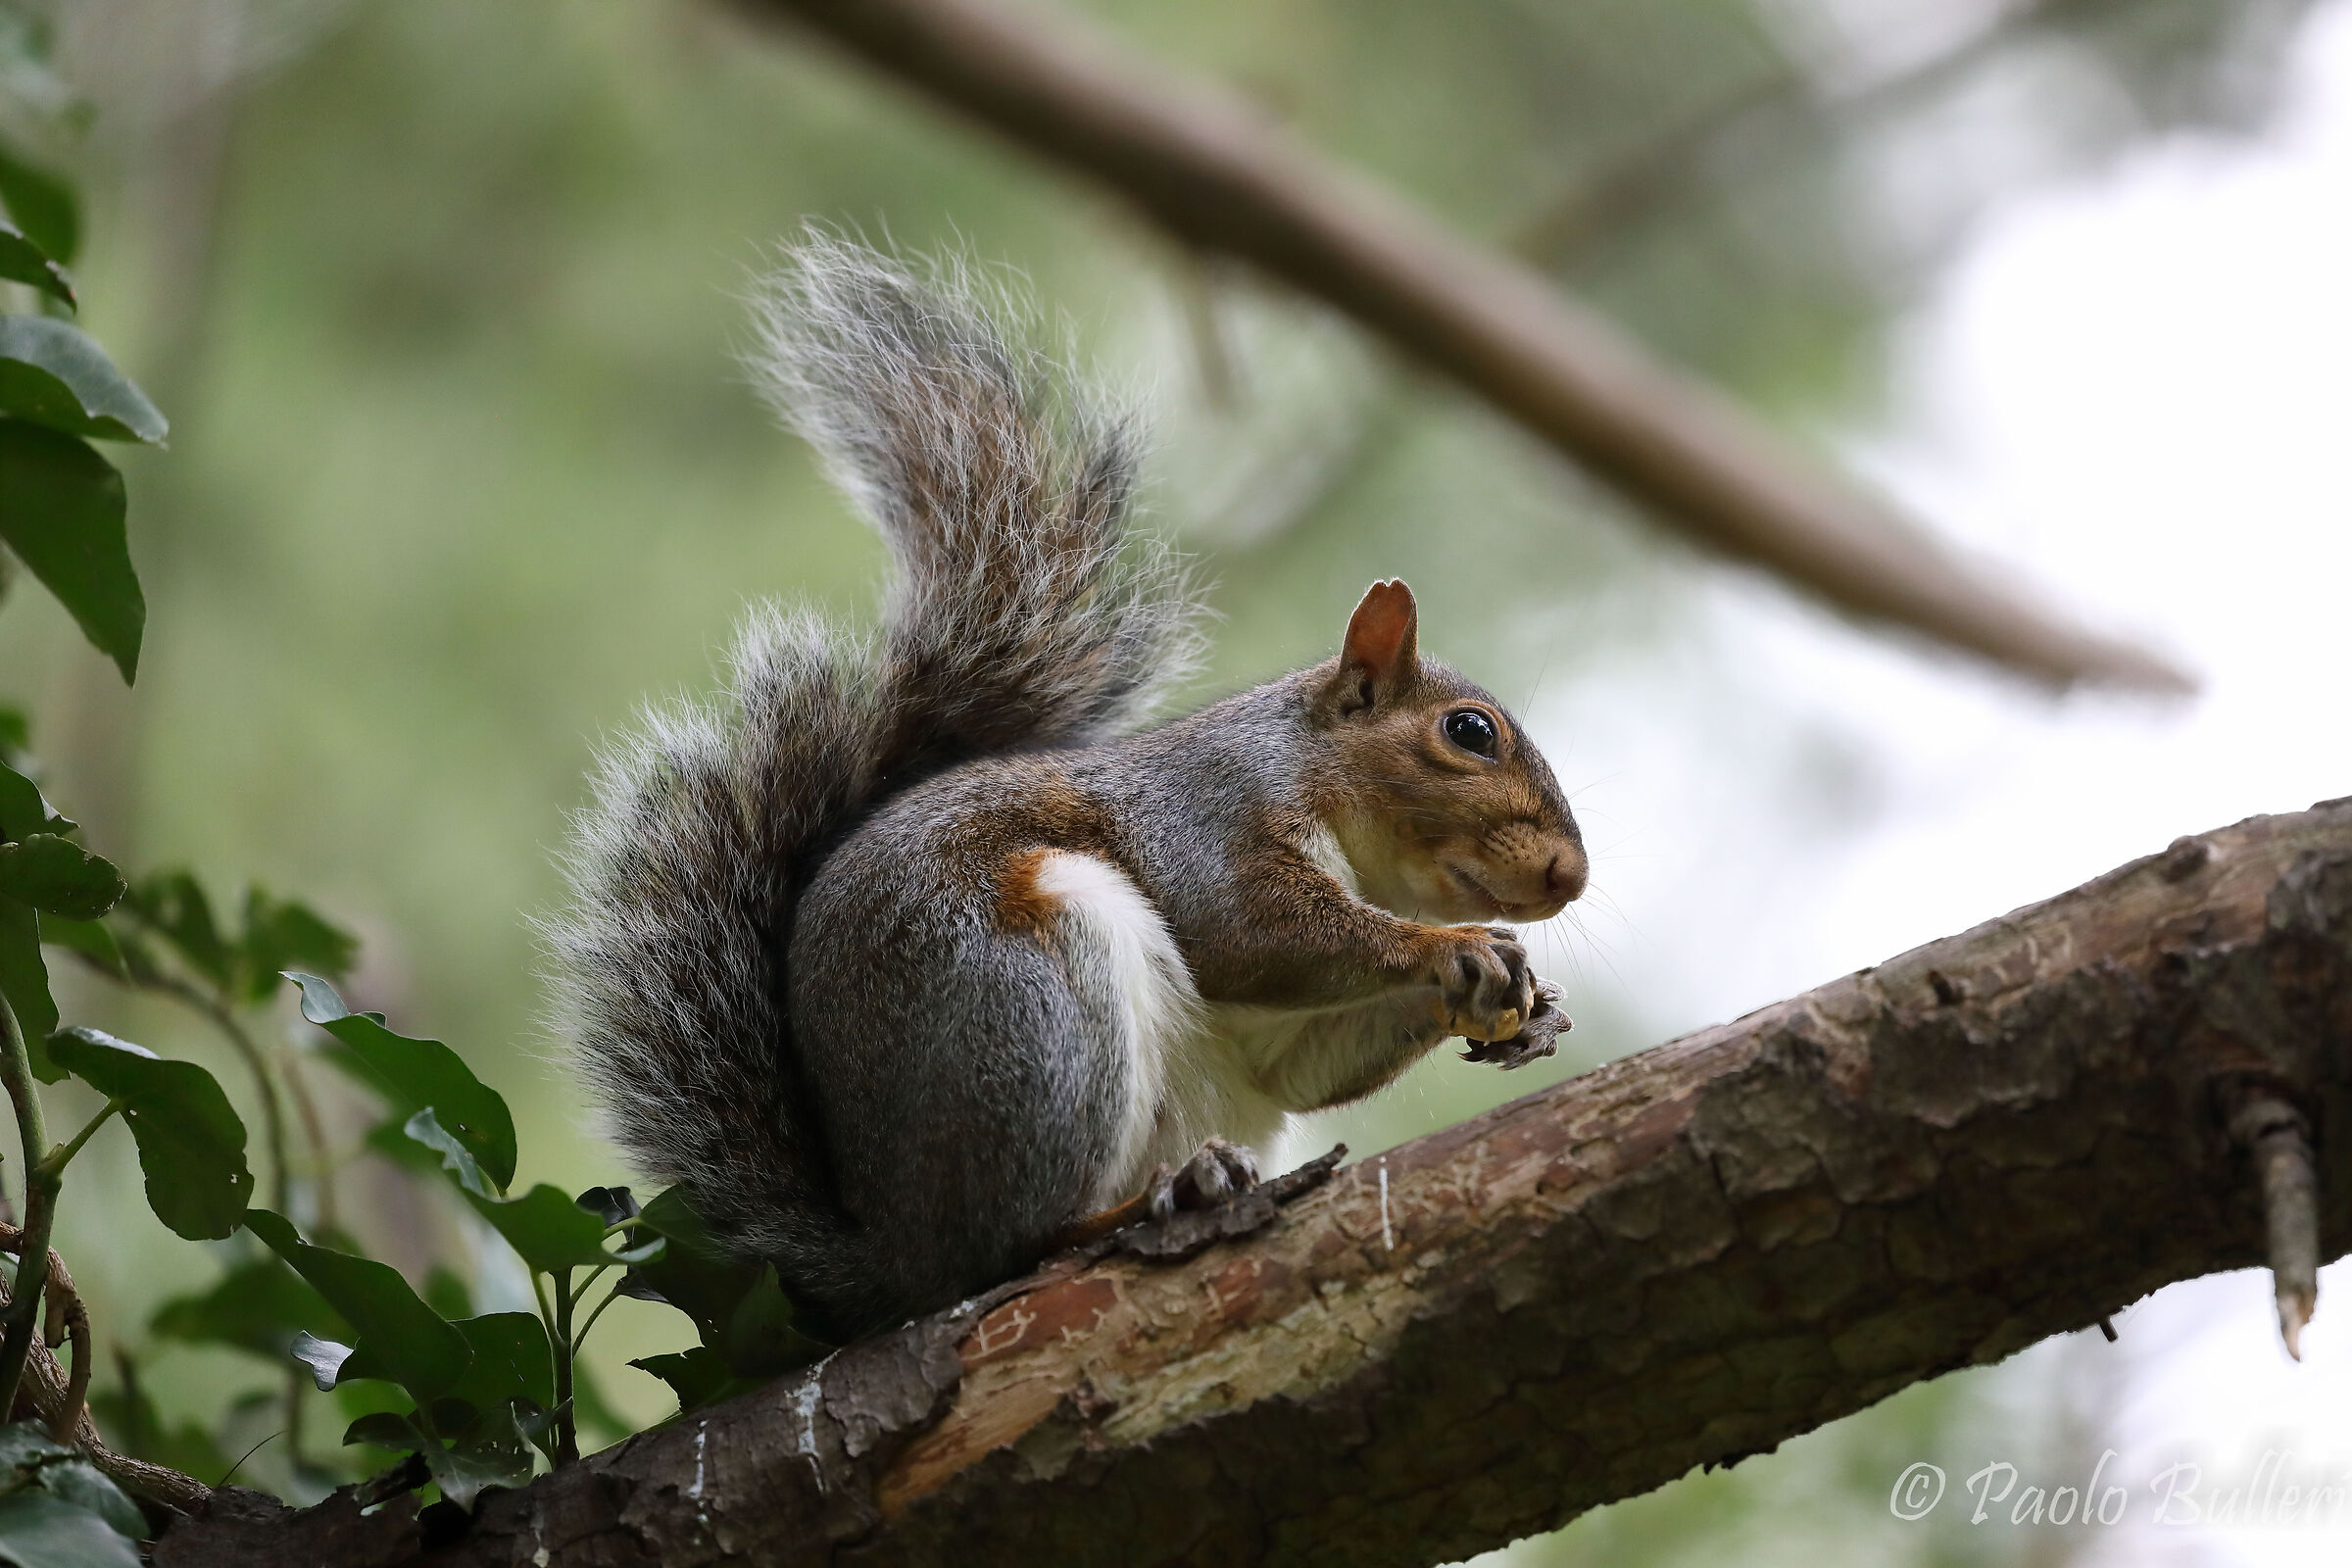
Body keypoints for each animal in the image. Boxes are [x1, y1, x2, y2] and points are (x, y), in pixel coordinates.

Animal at [550, 237, 1587, 1340]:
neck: (1322, 788)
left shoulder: (1277, 1030)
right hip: (1031, 996)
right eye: (1468, 732)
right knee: (1014, 1244)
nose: (1570, 876)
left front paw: (1527, 1007)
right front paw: (1455, 949)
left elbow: (1304, 1059)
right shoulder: (1207, 813)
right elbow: (1251, 928)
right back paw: (1158, 1200)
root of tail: (891, 1257)